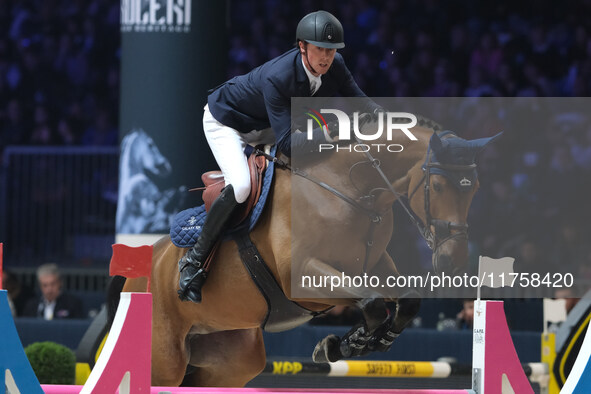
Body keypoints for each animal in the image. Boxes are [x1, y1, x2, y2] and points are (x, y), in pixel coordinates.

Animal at [114, 119, 500, 384]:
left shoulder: (374, 265)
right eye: (438, 186)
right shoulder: (303, 275)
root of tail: (138, 272)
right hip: (164, 360)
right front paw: (349, 343)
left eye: (475, 187)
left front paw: (357, 343)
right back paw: (189, 276)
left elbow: (405, 301)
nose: (454, 261)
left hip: (232, 360)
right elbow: (372, 303)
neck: (353, 192)